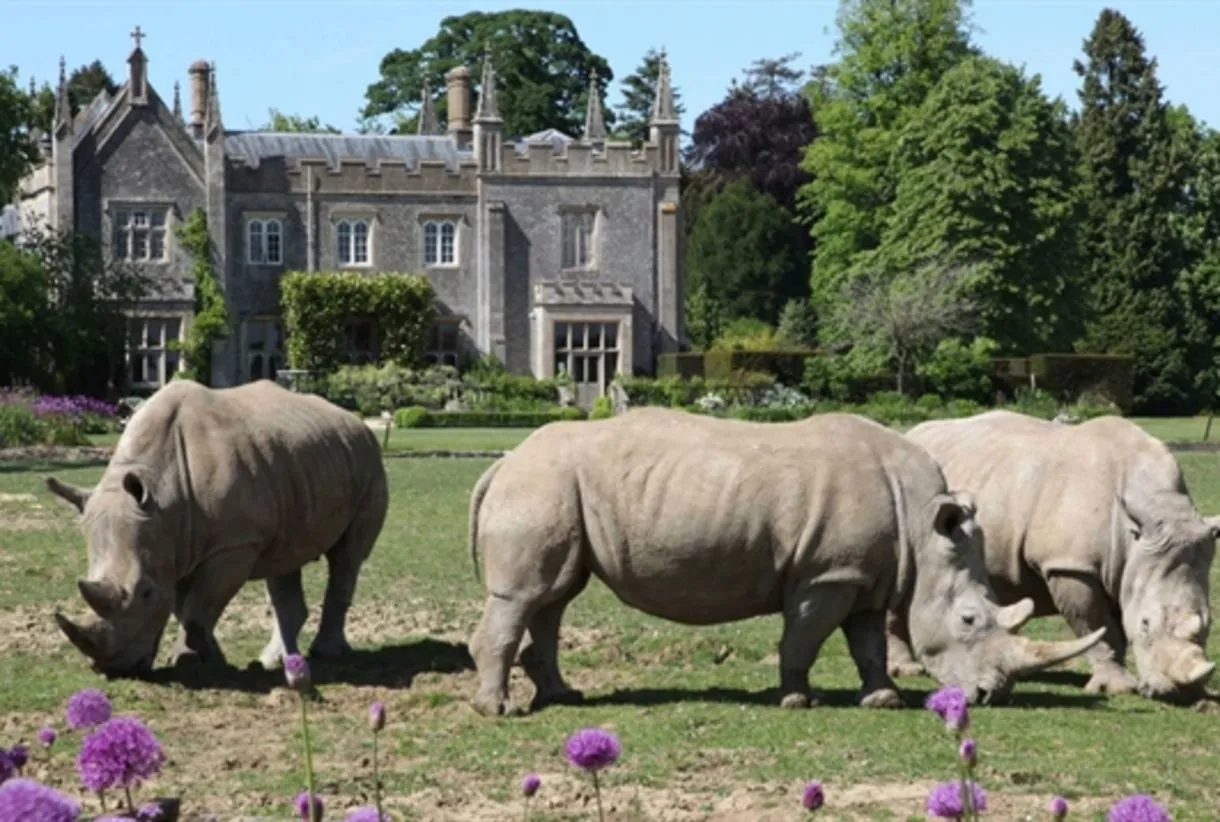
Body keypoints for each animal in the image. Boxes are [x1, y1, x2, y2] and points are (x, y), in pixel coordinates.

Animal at [45, 379, 389, 678]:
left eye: (145, 592)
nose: (114, 670)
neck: (161, 494)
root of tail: (356, 421)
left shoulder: (234, 543)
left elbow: (199, 607)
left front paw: (187, 660)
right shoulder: (174, 541)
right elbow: (186, 607)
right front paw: (210, 658)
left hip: (369, 462)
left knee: (348, 556)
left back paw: (325, 653)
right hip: (301, 463)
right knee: (284, 559)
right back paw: (275, 661)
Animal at [465, 408, 1103, 716]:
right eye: (970, 620)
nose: (991, 697)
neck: (923, 528)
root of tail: (503, 461)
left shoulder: (867, 573)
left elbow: (867, 642)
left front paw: (882, 699)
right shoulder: (827, 574)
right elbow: (805, 637)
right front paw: (797, 700)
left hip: (554, 487)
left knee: (555, 593)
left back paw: (562, 697)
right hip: (541, 484)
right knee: (526, 595)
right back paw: (500, 711)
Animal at [888, 410, 1218, 700]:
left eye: (1209, 622)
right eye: (1146, 623)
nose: (1181, 693)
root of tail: (912, 433)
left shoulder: (1123, 566)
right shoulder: (1070, 565)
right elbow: (1096, 624)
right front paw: (1117, 687)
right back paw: (907, 670)